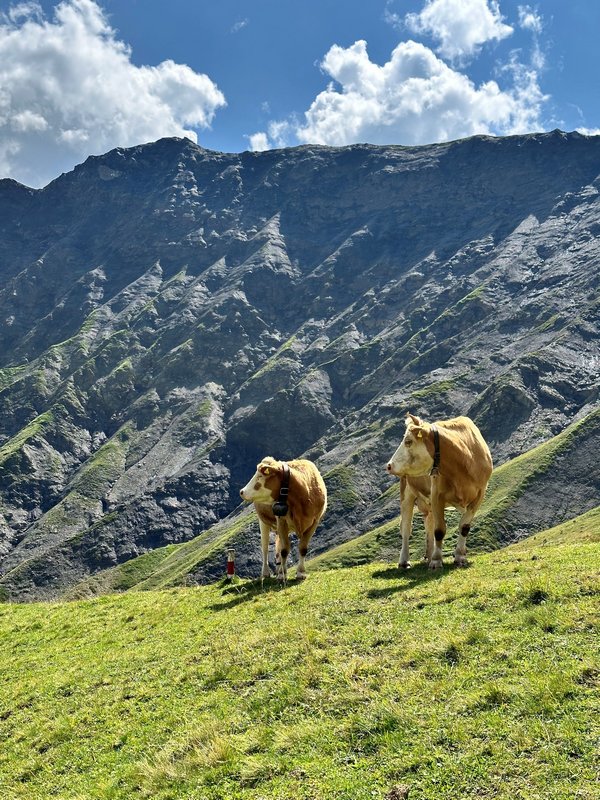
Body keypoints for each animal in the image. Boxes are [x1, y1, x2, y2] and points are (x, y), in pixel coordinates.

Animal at [390, 412, 492, 568]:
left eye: (408, 441)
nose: (389, 465)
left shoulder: (480, 495)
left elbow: (464, 527)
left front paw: (460, 557)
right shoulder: (437, 494)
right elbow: (439, 530)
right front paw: (436, 561)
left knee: (429, 525)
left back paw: (428, 556)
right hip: (406, 492)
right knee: (406, 528)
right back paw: (404, 561)